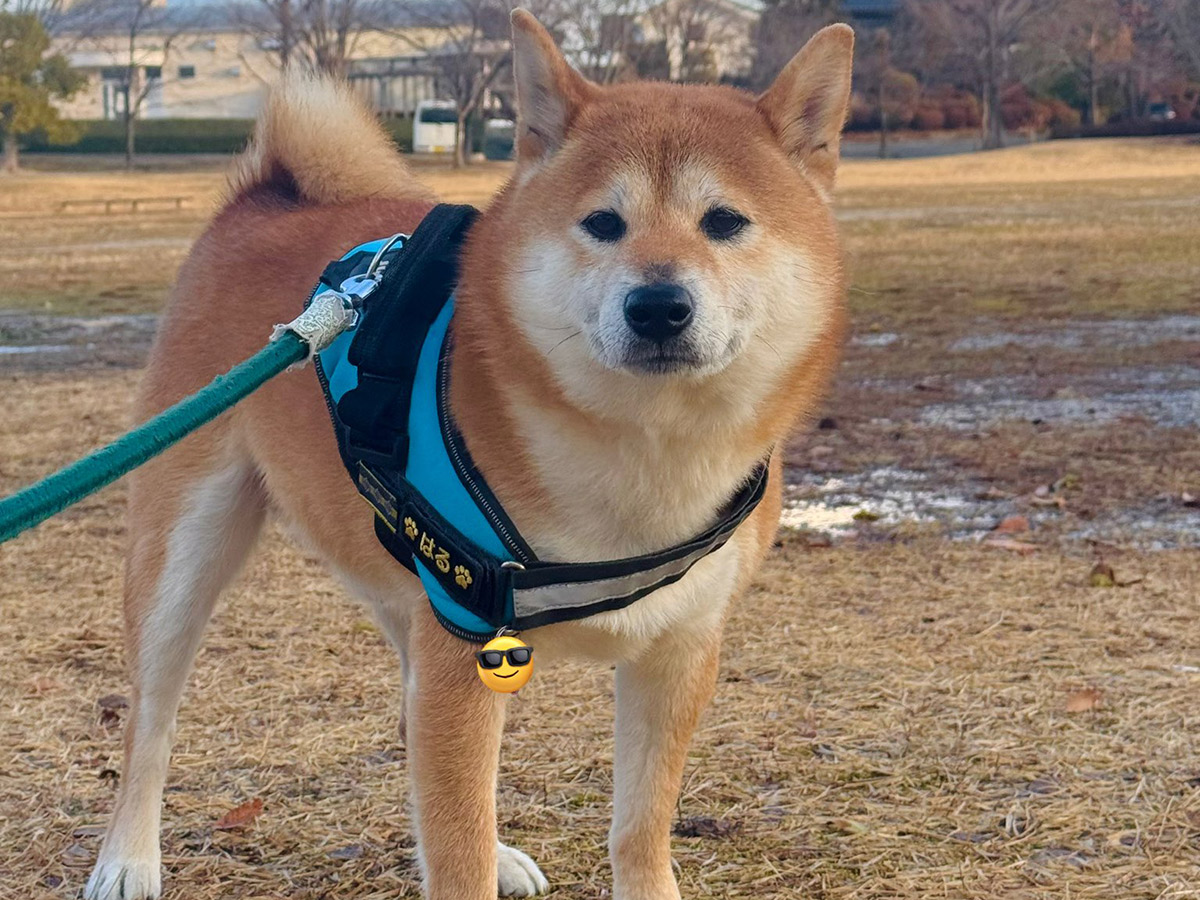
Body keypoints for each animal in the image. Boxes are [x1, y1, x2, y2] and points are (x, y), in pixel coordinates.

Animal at [84, 8, 854, 900]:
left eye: (724, 222)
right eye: (604, 223)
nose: (658, 305)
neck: (640, 453)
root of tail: (267, 195)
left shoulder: (679, 647)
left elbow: (638, 826)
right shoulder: (464, 649)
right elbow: (458, 846)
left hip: (402, 586)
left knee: (406, 719)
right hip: (185, 550)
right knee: (150, 723)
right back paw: (127, 859)